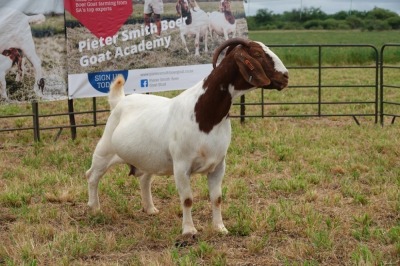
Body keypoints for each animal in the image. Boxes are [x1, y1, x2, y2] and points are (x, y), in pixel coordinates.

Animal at [86, 38, 288, 237]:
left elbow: (217, 198)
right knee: (92, 176)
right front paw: (189, 231)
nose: (285, 76)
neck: (205, 116)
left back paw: (150, 209)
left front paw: (220, 227)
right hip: (104, 151)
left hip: (149, 158)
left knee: (144, 179)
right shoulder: (181, 166)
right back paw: (95, 208)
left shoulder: (218, 165)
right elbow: (187, 199)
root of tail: (119, 101)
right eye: (257, 54)